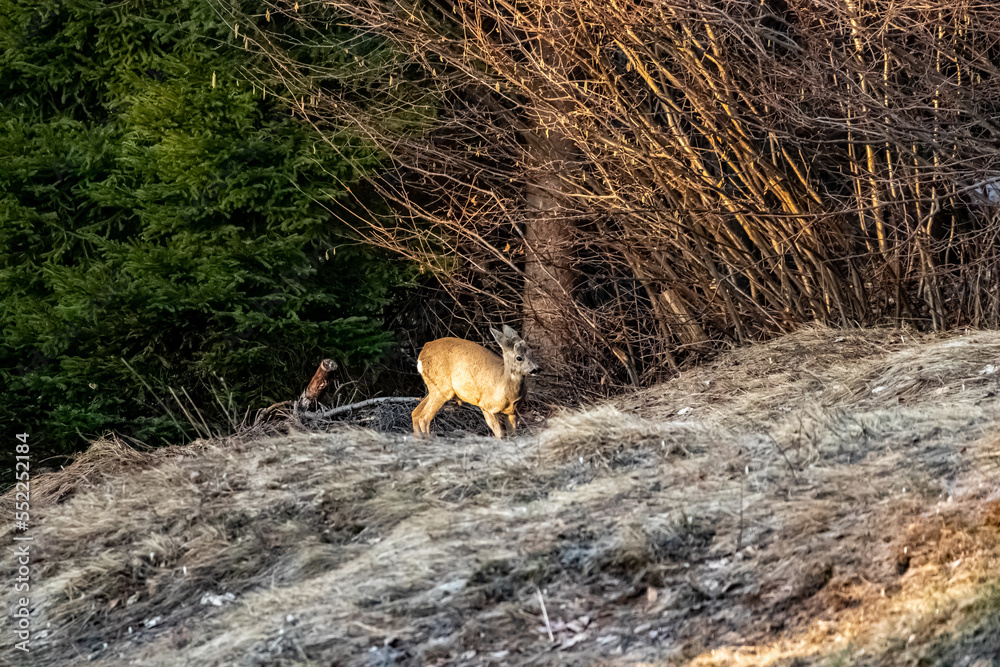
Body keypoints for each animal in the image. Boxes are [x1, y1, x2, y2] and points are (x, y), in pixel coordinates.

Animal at [412, 325, 540, 439]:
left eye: (531, 353)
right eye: (519, 357)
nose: (536, 369)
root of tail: (422, 352)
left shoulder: (513, 412)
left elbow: (512, 436)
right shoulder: (486, 406)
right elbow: (500, 435)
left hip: (435, 389)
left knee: (415, 413)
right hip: (441, 388)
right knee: (424, 418)